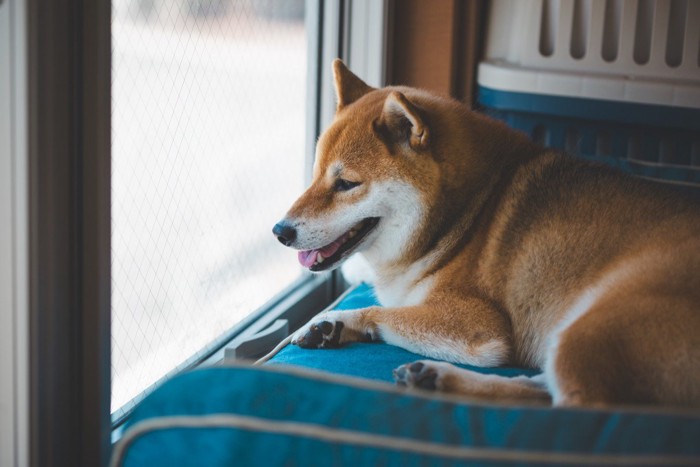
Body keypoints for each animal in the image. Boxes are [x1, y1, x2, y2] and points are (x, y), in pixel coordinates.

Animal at [272, 59, 700, 410]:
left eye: (346, 184)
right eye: (315, 175)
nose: (280, 231)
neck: (469, 211)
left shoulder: (480, 328)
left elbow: (388, 311)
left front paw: (335, 319)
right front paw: (330, 325)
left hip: (588, 330)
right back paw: (435, 377)